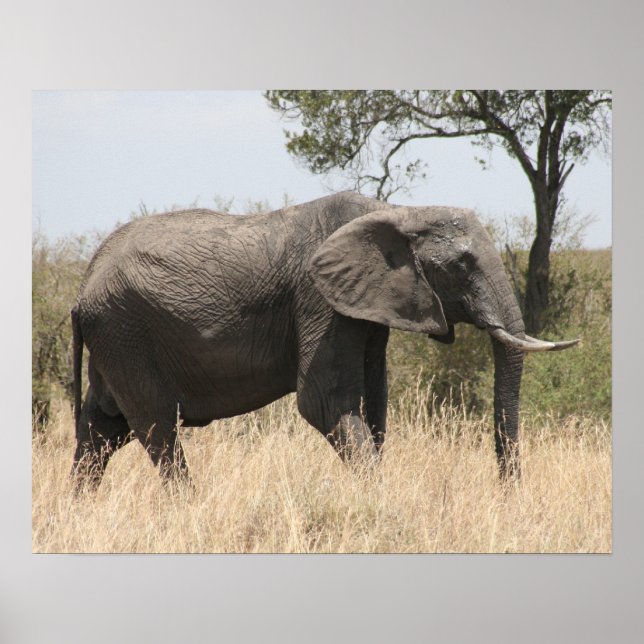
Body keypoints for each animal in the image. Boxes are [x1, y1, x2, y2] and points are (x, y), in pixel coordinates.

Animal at [70, 192, 578, 488]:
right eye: (461, 265)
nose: (508, 494)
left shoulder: (365, 306)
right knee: (156, 427)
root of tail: (83, 285)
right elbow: (324, 401)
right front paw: (379, 500)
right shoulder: (320, 300)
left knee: (102, 429)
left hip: (116, 337)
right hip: (125, 331)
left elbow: (374, 402)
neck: (396, 210)